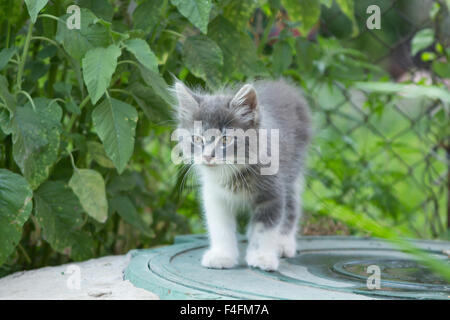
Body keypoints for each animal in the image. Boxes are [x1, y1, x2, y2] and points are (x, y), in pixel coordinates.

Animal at [174, 79, 312, 272]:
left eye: (225, 139)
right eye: (198, 139)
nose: (208, 156)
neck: (232, 172)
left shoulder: (273, 192)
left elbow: (265, 229)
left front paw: (262, 256)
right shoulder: (215, 197)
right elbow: (220, 227)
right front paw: (222, 255)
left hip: (292, 170)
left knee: (292, 205)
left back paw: (283, 243)